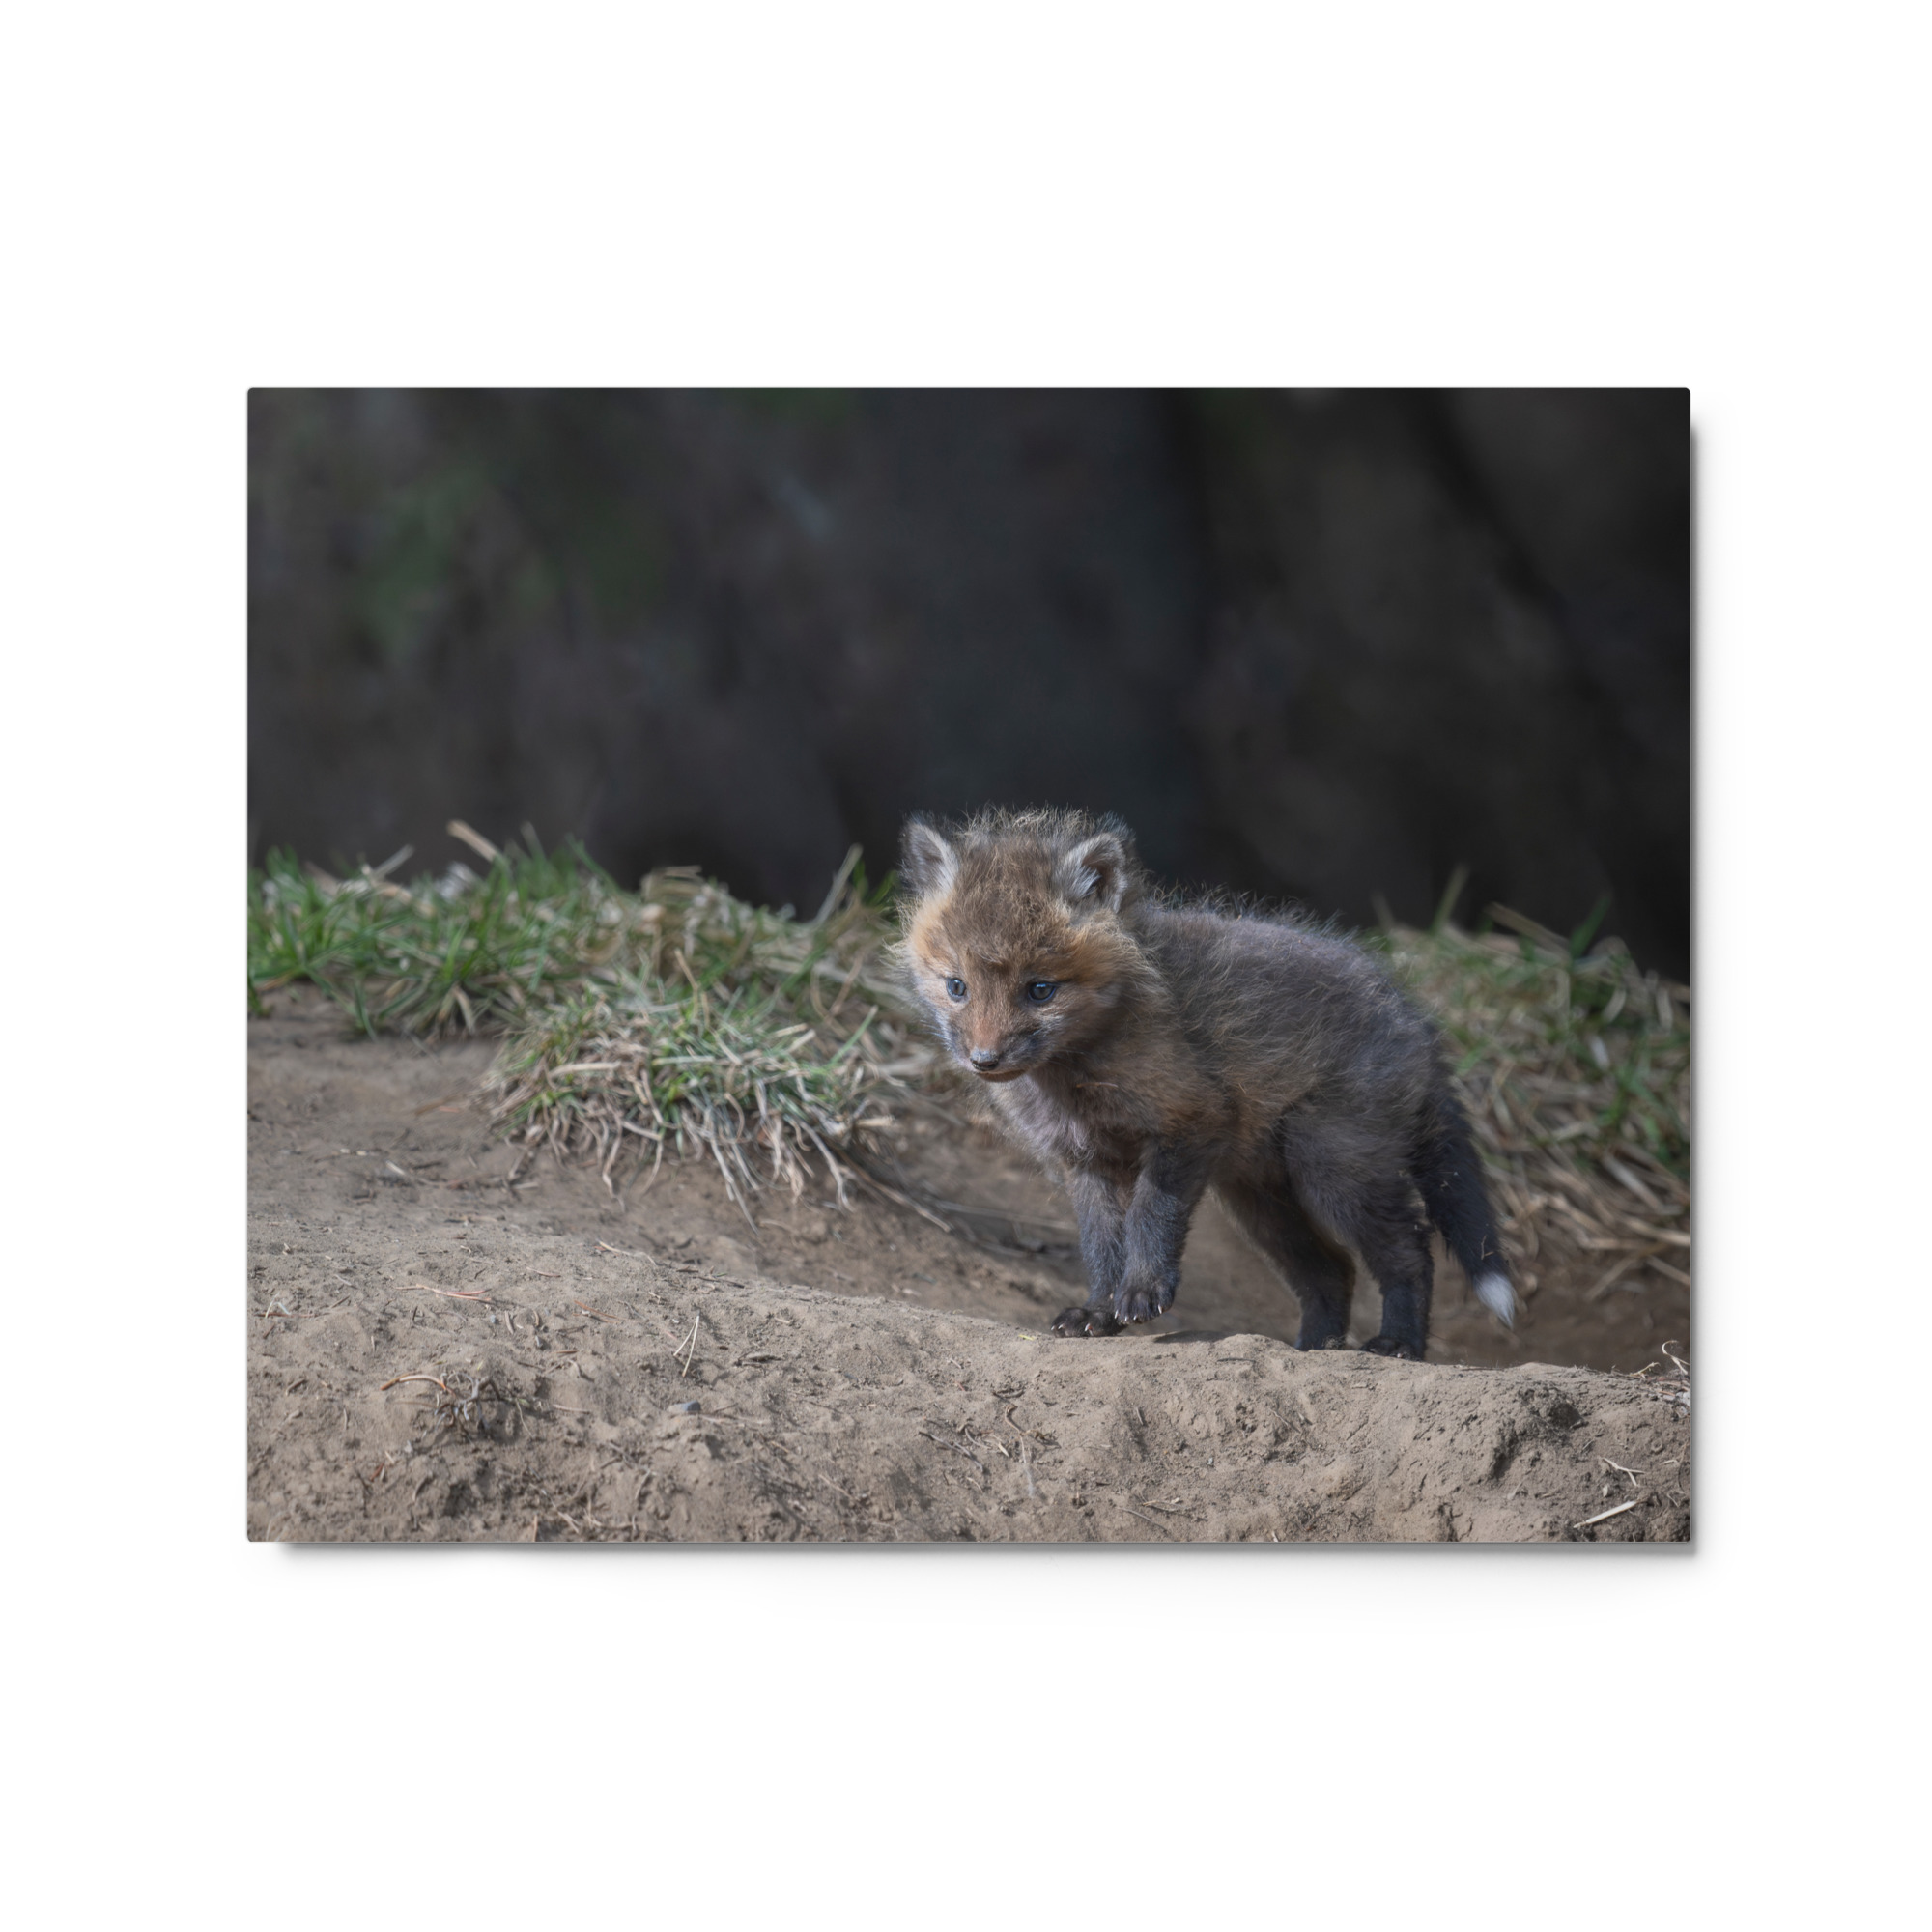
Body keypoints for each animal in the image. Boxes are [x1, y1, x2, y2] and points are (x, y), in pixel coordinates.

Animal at [894, 807, 1517, 1358]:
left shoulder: (1190, 1121)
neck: (1077, 1078)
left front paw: (1142, 1292)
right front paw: (1098, 1311)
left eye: (1040, 990)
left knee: (1410, 1251)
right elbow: (1101, 1246)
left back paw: (1398, 1344)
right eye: (957, 986)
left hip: (1333, 1169)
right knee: (1332, 1271)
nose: (984, 1060)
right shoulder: (1086, 1161)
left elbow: (1150, 1217)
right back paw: (1314, 1349)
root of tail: (1417, 1020)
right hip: (1261, 1200)